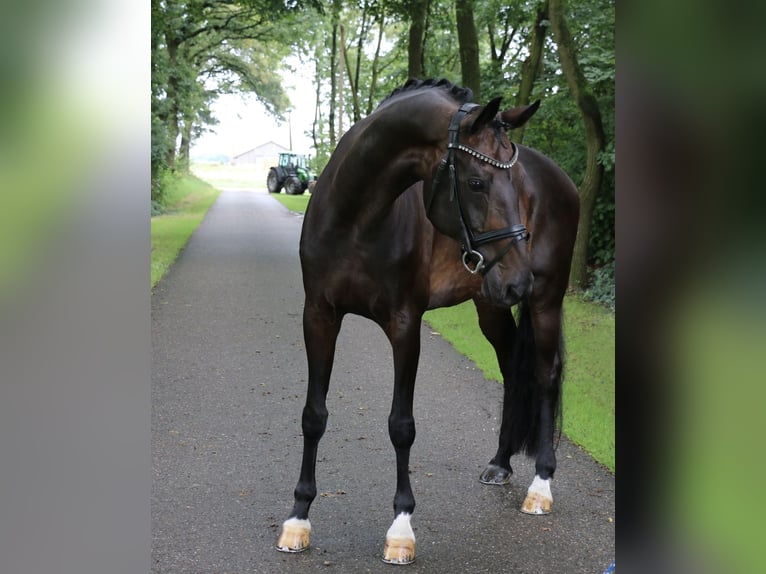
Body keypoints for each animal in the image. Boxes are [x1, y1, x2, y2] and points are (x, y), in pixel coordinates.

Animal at [272, 79, 580, 564]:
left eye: (516, 184)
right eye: (477, 182)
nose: (518, 280)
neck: (356, 217)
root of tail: (563, 180)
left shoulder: (405, 326)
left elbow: (402, 425)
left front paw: (401, 528)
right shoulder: (318, 316)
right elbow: (313, 415)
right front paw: (298, 518)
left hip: (544, 301)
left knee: (545, 376)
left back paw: (541, 485)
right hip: (491, 304)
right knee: (514, 369)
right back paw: (500, 463)